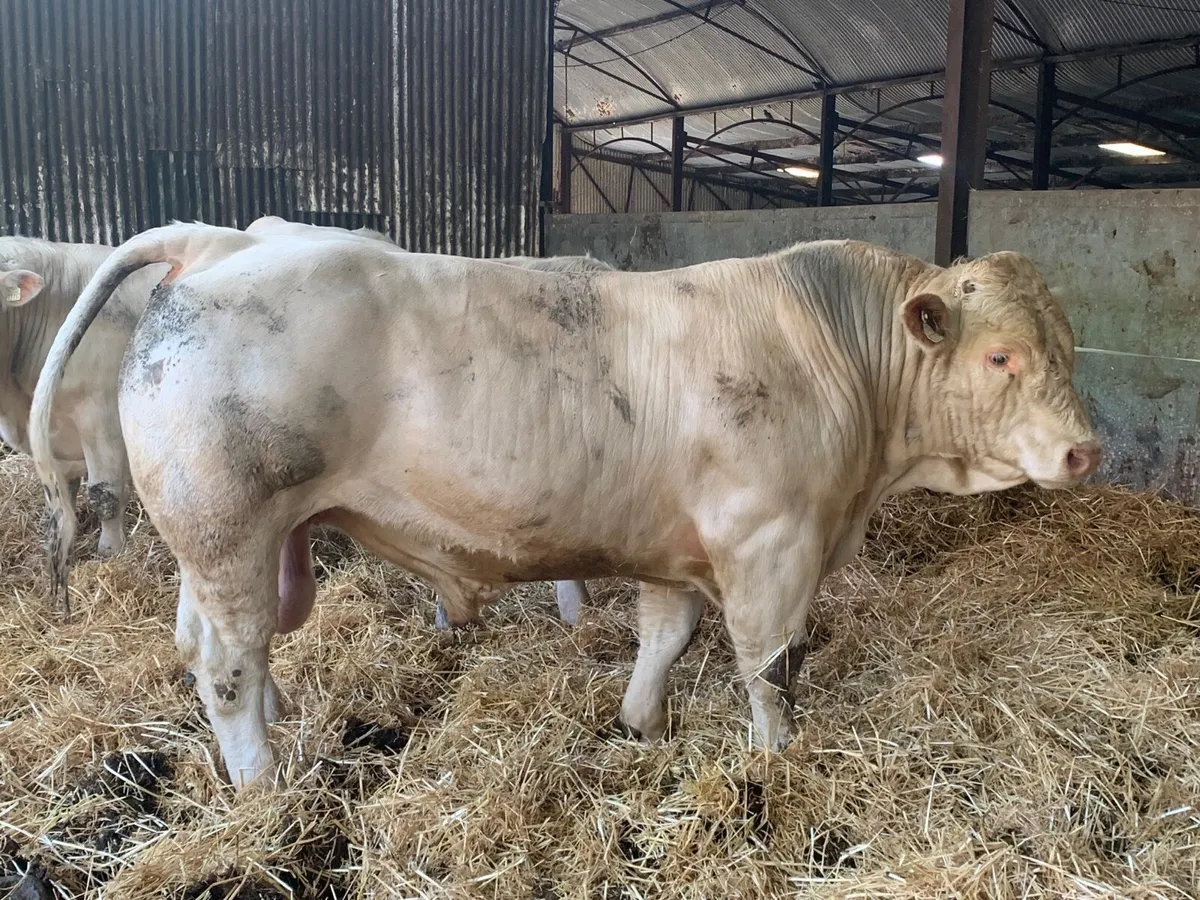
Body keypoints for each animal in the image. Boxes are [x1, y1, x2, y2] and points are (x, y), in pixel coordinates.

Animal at [30, 223, 1100, 790]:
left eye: (1065, 346)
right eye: (1000, 355)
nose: (1085, 449)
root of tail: (227, 240)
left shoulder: (681, 548)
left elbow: (665, 638)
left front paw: (639, 725)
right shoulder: (770, 544)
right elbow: (769, 667)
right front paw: (775, 759)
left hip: (227, 541)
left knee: (209, 644)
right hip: (229, 525)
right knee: (226, 667)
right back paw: (262, 782)